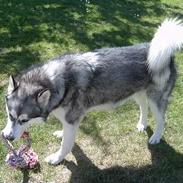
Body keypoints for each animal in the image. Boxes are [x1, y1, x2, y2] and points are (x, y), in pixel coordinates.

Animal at [1, 18, 183, 164]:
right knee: (143, 106)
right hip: (138, 93)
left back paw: (156, 136)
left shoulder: (71, 120)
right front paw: (61, 134)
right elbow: (65, 135)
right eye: (10, 115)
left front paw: (57, 158)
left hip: (155, 99)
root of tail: (162, 51)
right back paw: (142, 124)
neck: (60, 82)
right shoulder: (68, 120)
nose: (7, 137)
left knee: (162, 119)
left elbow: (66, 145)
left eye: (24, 120)